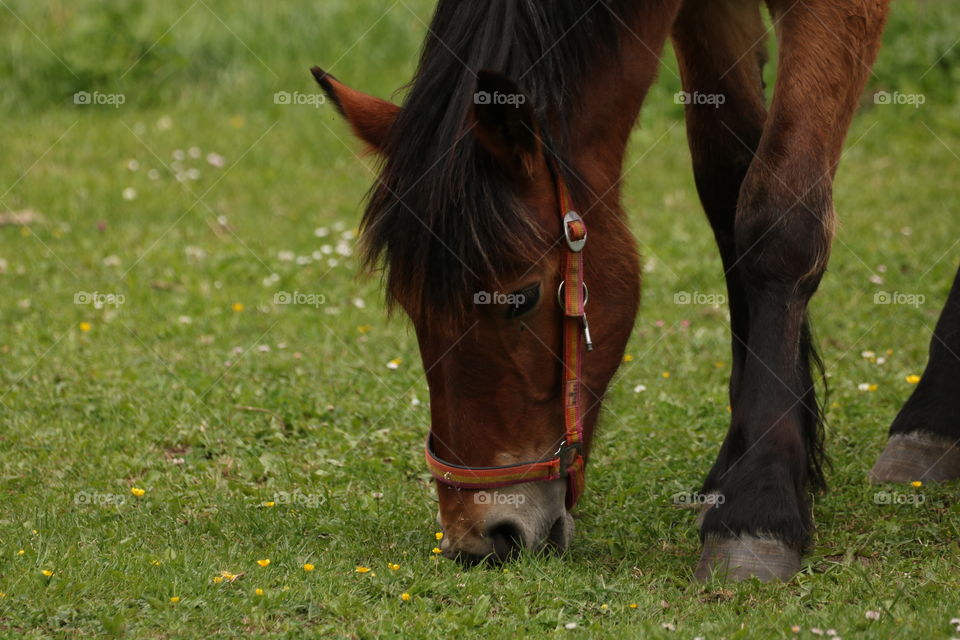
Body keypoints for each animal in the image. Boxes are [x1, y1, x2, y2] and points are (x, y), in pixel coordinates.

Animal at [316, 0, 960, 580]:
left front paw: (760, 505)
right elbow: (730, 188)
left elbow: (779, 217)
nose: (478, 536)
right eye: (410, 305)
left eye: (520, 298)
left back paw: (932, 420)